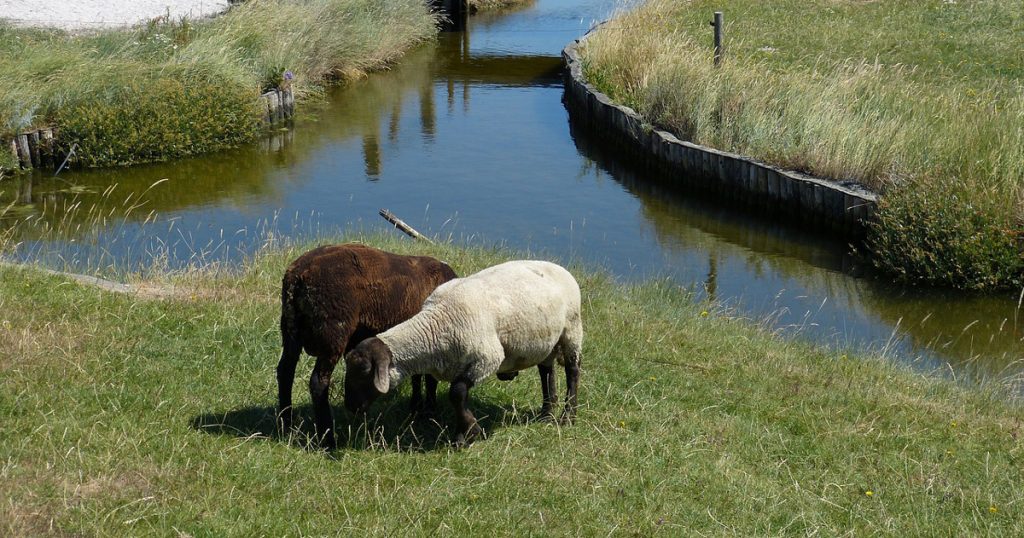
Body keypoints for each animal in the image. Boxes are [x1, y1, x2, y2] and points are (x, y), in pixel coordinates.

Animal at [278, 243, 457, 449]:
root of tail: (297, 276)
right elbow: (429, 378)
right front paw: (429, 411)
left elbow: (418, 376)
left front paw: (417, 409)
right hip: (333, 330)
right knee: (318, 382)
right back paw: (328, 439)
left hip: (290, 329)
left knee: (285, 372)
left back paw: (286, 425)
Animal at [344, 260, 583, 446]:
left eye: (364, 371)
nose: (350, 407)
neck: (434, 325)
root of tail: (558, 267)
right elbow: (447, 392)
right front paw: (460, 429)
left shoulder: (486, 359)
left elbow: (457, 393)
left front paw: (466, 434)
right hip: (548, 340)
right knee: (546, 371)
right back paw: (546, 413)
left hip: (572, 329)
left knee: (573, 371)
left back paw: (568, 416)